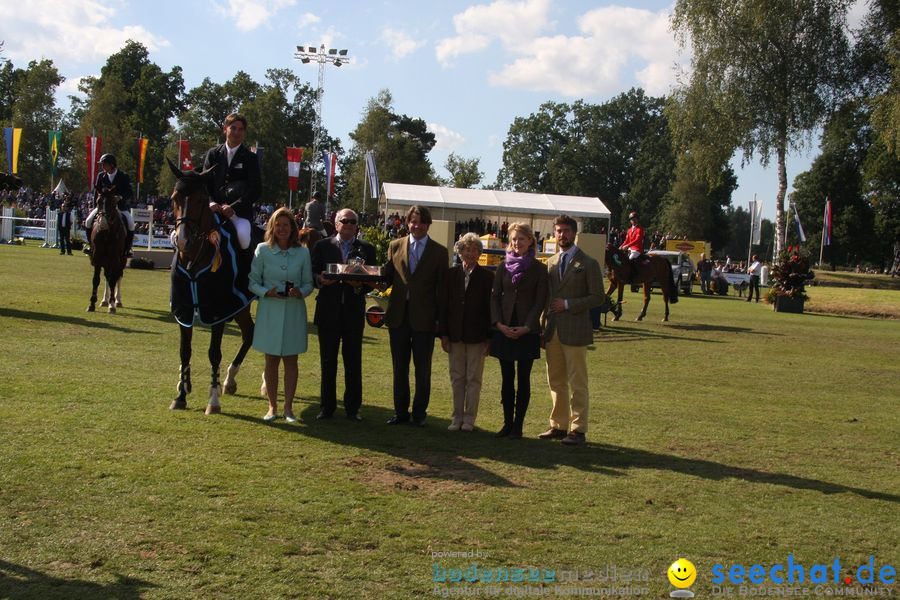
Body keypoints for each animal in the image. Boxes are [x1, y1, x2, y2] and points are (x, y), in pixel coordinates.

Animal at [166, 157, 255, 414]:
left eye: (201, 200)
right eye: (174, 198)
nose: (183, 240)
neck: (194, 257)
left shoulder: (218, 311)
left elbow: (214, 353)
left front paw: (213, 400)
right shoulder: (184, 310)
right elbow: (184, 351)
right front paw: (181, 395)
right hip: (241, 304)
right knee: (249, 333)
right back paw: (230, 380)